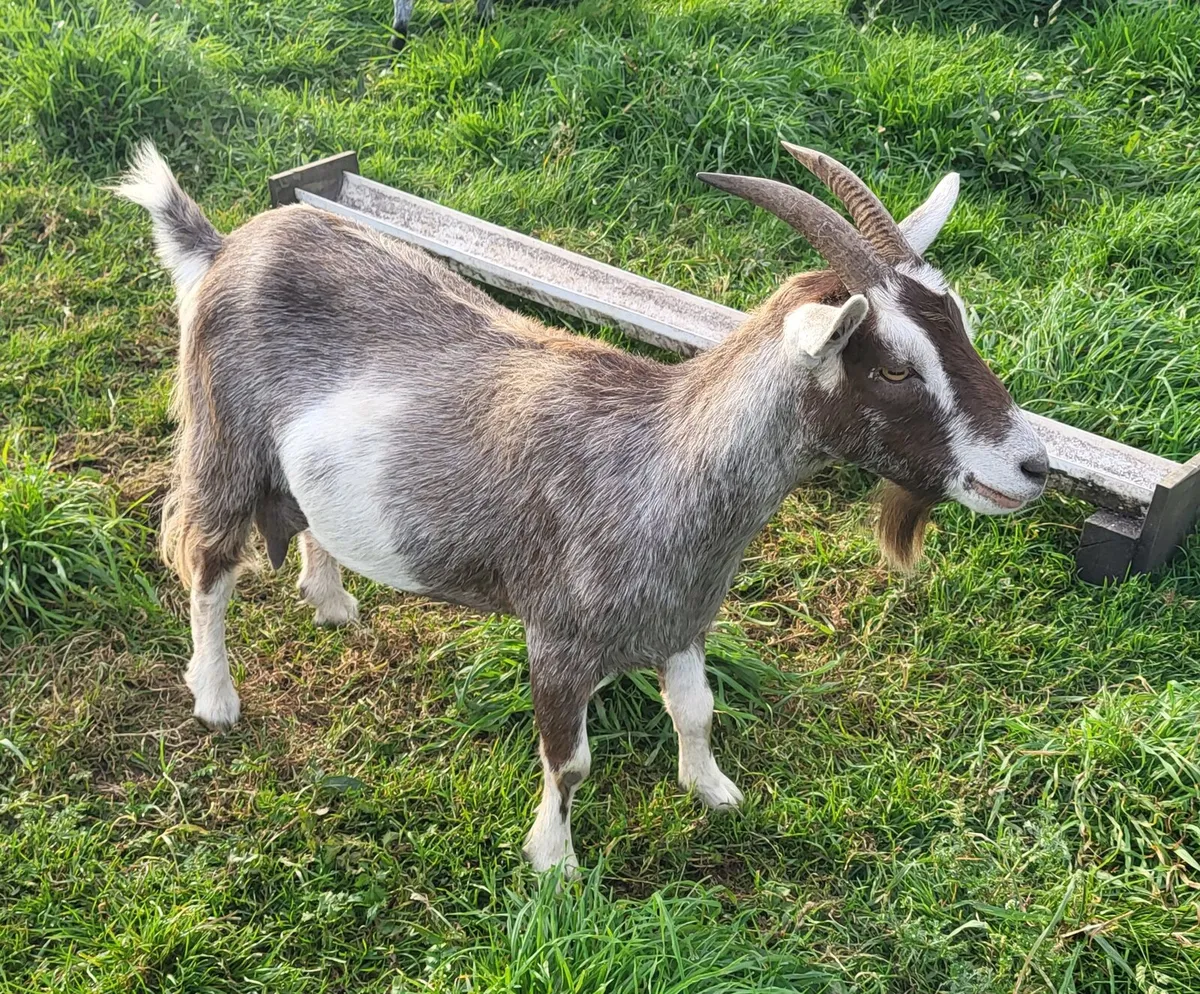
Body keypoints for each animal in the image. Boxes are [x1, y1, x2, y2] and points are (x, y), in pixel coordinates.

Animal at [113, 141, 1048, 873]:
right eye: (892, 368)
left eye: (962, 325)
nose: (1033, 466)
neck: (663, 459)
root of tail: (226, 245)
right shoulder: (558, 641)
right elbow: (570, 764)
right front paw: (554, 865)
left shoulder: (679, 618)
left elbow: (697, 711)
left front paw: (713, 791)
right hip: (223, 441)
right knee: (206, 563)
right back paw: (216, 697)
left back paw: (333, 599)